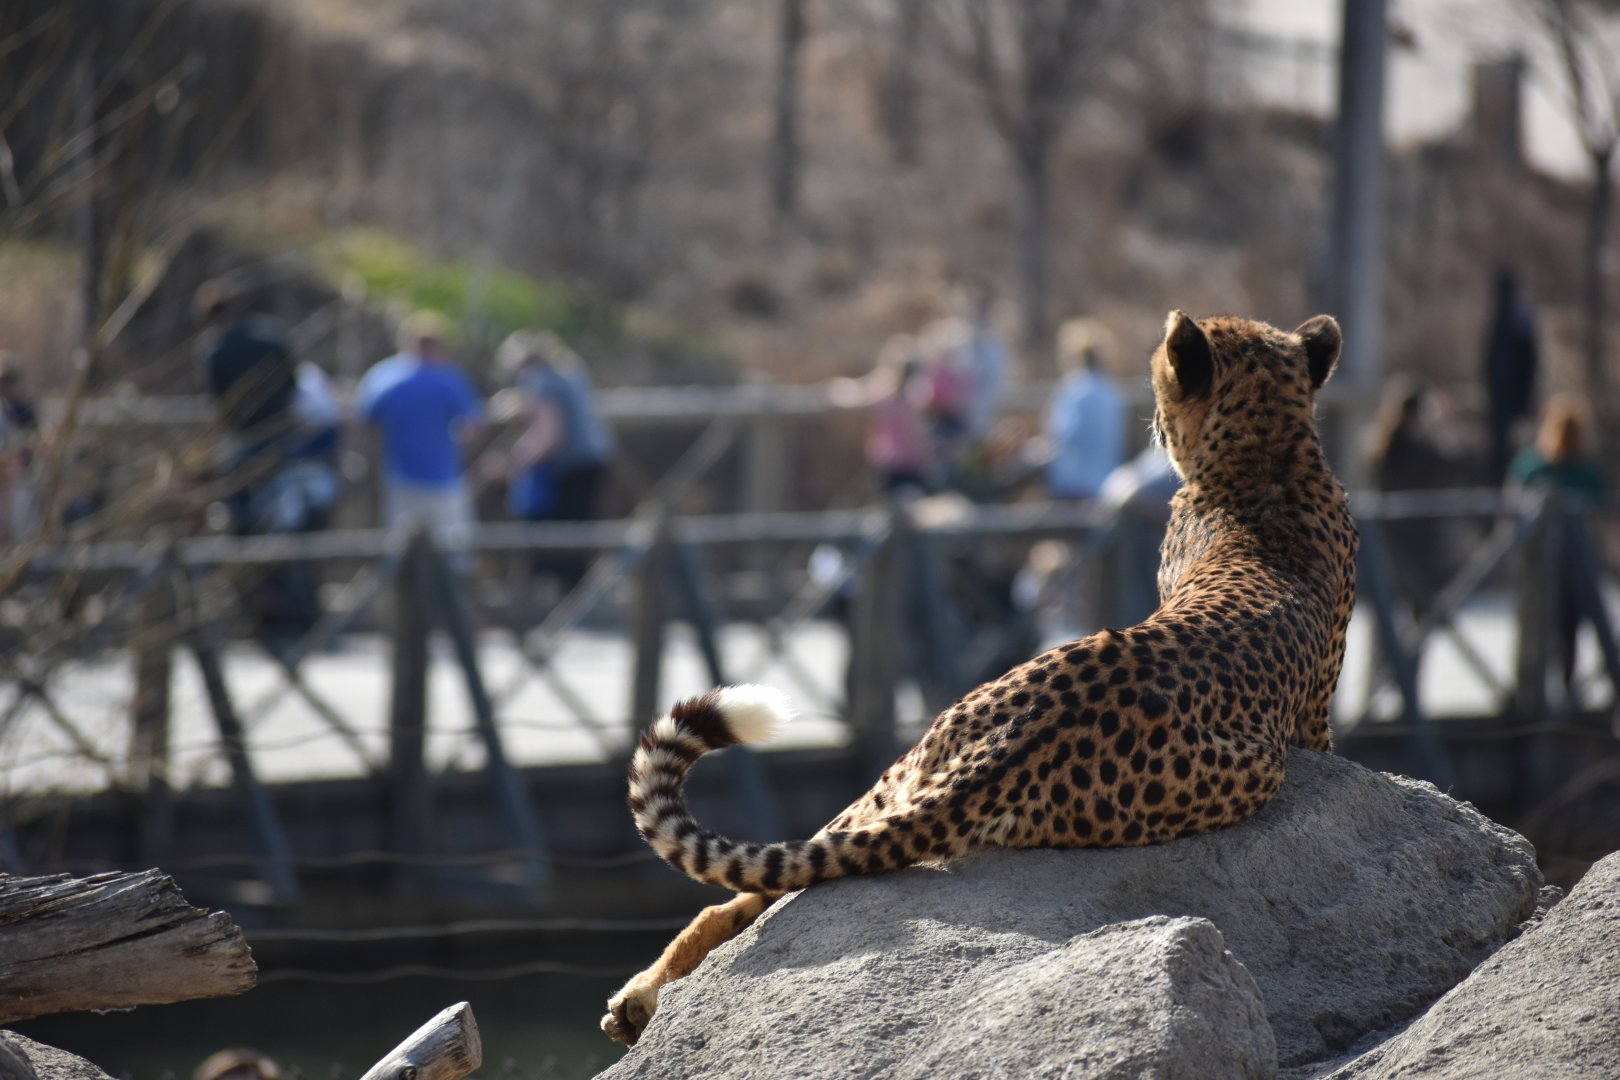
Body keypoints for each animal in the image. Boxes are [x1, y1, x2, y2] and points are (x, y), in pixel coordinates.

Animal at [601, 310, 1359, 1047]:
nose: (1147, 421)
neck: (1269, 457)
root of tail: (1008, 746)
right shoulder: (1313, 726)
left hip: (892, 786)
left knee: (770, 883)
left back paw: (639, 999)